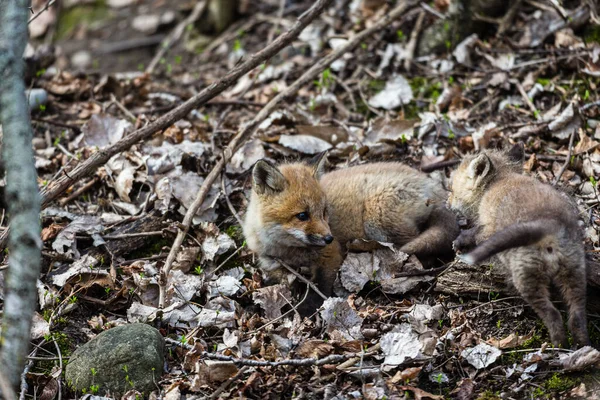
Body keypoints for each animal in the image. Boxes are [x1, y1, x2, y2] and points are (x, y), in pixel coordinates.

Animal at [244, 153, 460, 312]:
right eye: (302, 215)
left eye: (324, 212)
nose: (329, 238)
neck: (289, 251)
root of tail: (429, 181)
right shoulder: (271, 264)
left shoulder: (330, 254)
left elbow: (320, 287)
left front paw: (306, 309)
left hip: (376, 218)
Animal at [448, 144, 588, 346]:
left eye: (451, 189)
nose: (447, 203)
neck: (499, 179)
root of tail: (549, 225)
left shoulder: (488, 228)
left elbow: (474, 235)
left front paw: (460, 242)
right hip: (575, 273)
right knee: (577, 316)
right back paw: (582, 347)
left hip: (526, 278)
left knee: (553, 314)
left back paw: (558, 345)